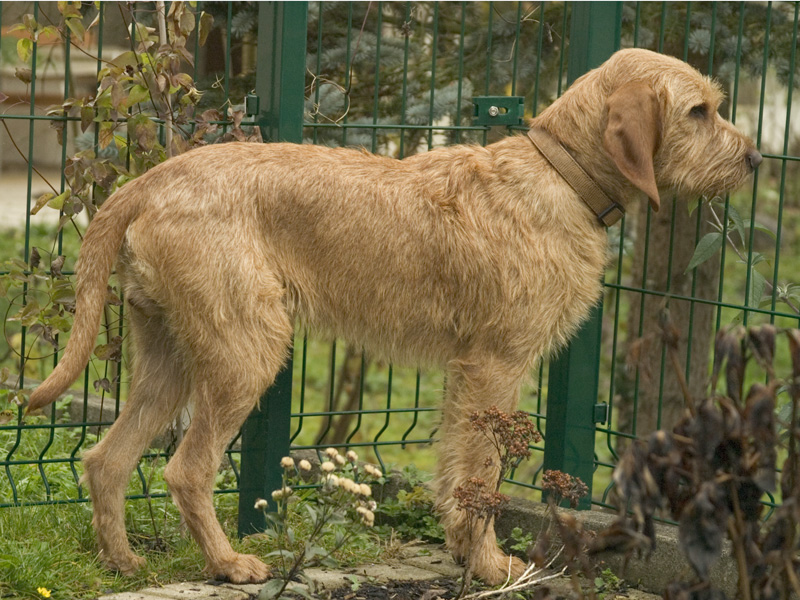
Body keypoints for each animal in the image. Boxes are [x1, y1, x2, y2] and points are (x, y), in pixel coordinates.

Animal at [26, 49, 764, 584]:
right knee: (186, 469)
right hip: (246, 353)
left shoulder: (466, 376)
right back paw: (229, 564)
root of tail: (150, 180)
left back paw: (123, 561)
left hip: (170, 358)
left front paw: (466, 554)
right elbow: (483, 476)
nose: (757, 158)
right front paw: (490, 566)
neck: (559, 176)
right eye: (699, 111)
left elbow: (457, 472)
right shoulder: (498, 367)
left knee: (106, 458)